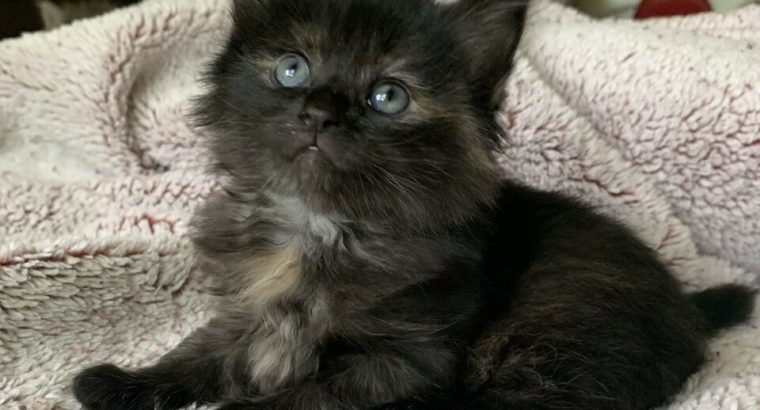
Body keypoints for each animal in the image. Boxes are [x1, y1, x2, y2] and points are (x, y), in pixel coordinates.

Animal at [71, 0, 756, 410]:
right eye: (292, 69)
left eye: (387, 97)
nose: (319, 111)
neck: (319, 227)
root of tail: (687, 310)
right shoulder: (244, 311)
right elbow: (195, 353)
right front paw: (125, 383)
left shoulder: (404, 360)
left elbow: (298, 396)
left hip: (554, 325)